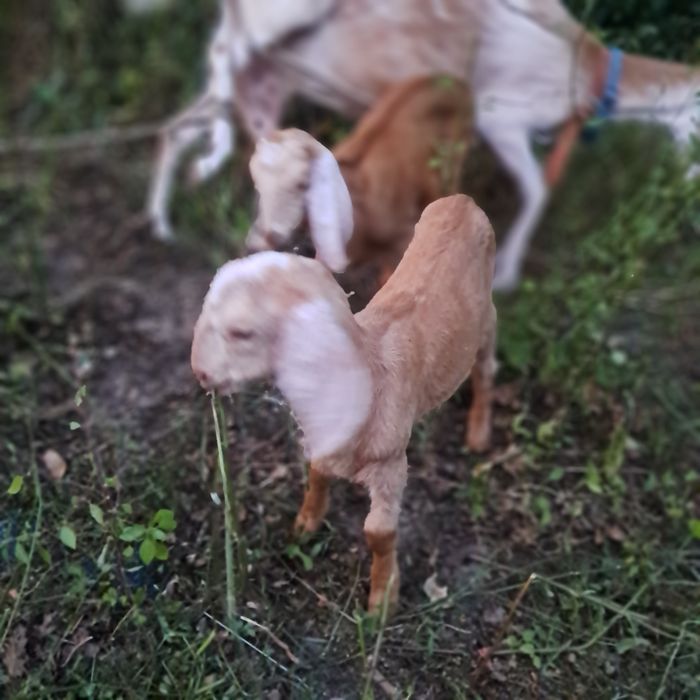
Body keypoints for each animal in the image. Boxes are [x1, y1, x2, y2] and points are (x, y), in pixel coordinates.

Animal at [191, 194, 497, 611]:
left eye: (242, 332)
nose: (199, 371)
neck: (372, 372)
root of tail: (462, 201)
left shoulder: (391, 464)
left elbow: (378, 533)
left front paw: (382, 600)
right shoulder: (324, 441)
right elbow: (317, 474)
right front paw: (305, 524)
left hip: (486, 322)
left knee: (485, 370)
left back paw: (479, 432)